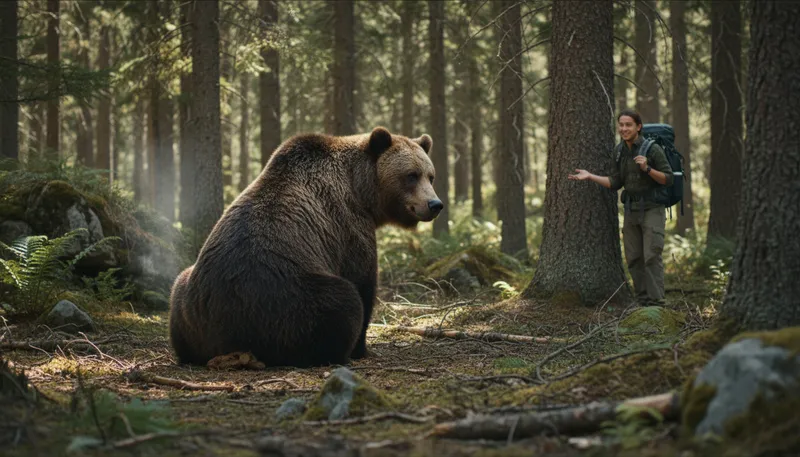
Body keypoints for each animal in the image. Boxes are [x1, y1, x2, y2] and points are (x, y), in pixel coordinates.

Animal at [168, 127, 442, 367]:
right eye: (411, 175)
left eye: (430, 175)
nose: (435, 204)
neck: (362, 190)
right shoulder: (350, 228)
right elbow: (363, 282)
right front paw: (363, 349)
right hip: (287, 302)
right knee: (341, 301)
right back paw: (339, 352)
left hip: (189, 302)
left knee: (178, 288)